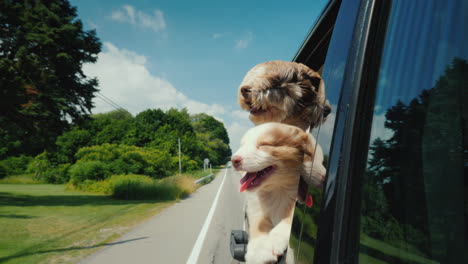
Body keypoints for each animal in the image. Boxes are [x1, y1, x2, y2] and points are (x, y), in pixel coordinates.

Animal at [231, 122, 326, 262]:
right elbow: (257, 223)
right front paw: (257, 249)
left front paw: (272, 243)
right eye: (243, 145)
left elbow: (288, 219)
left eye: (264, 144)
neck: (277, 189)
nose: (233, 160)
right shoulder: (256, 206)